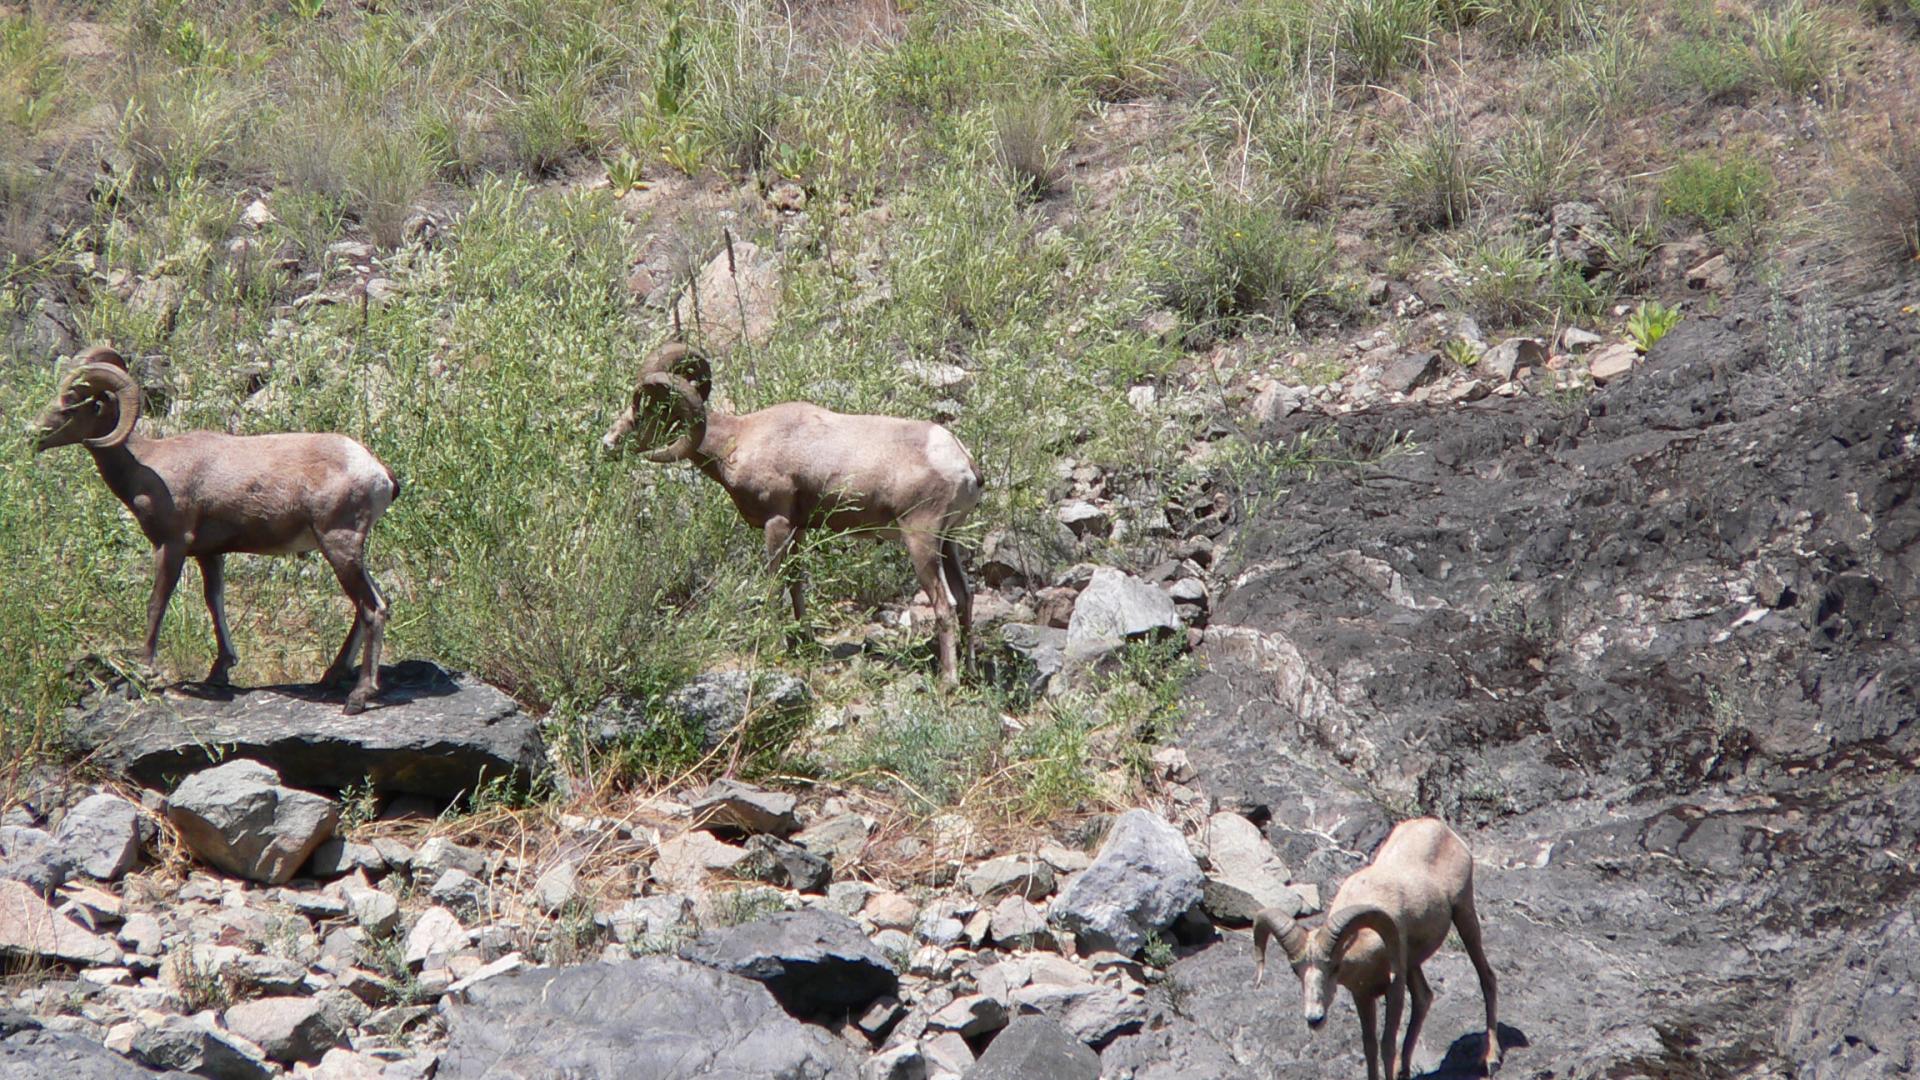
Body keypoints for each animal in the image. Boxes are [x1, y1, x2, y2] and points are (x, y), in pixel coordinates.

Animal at [33, 345, 399, 714]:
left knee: (372, 608)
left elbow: (157, 604)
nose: (32, 434)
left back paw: (358, 697)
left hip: (338, 544)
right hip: (345, 551)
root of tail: (377, 472)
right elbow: (214, 602)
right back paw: (332, 677)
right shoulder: (209, 555)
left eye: (72, 402)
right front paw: (219, 672)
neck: (147, 464)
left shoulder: (171, 545)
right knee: (375, 602)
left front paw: (142, 676)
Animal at [599, 342, 983, 680]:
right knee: (965, 598)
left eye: (647, 410)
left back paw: (948, 682)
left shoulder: (777, 524)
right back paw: (970, 671)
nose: (608, 444)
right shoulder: (798, 530)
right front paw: (802, 642)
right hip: (949, 542)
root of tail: (964, 463)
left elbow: (774, 586)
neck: (738, 442)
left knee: (946, 605)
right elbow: (796, 584)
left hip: (921, 541)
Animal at [1251, 814, 1505, 1076]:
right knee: (1424, 998)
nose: (1315, 1019)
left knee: (1486, 977)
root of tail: (1438, 827)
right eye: (1296, 970)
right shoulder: (1362, 995)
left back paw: (1491, 1059)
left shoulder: (1395, 989)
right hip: (1413, 963)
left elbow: (1387, 1045)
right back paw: (1405, 1070)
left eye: (1334, 966)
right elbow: (1370, 1046)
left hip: (1464, 915)